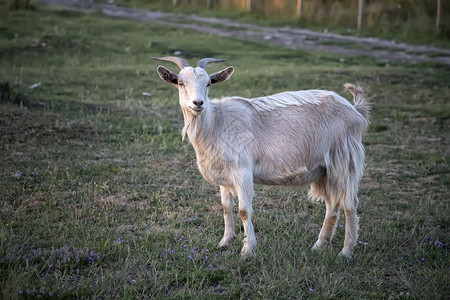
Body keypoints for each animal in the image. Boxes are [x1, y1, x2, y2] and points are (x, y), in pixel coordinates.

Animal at [153, 56, 370, 258]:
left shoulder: (242, 170)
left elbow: (243, 210)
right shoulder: (224, 175)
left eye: (208, 83)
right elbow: (225, 207)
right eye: (181, 83)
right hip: (324, 170)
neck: (216, 123)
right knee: (332, 205)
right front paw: (225, 241)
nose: (198, 103)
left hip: (344, 160)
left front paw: (247, 249)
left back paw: (346, 251)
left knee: (349, 204)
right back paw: (319, 245)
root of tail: (355, 111)